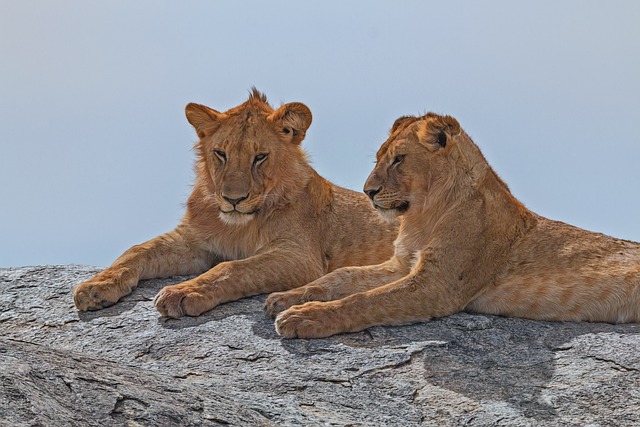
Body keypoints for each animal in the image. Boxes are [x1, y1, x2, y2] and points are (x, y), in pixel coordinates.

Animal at [72, 90, 398, 318]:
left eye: (260, 157)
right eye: (221, 153)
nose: (233, 199)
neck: (237, 225)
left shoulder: (301, 257)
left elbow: (231, 268)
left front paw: (182, 292)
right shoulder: (194, 242)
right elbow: (137, 250)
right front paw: (96, 286)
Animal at [264, 112, 640, 340]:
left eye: (399, 159)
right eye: (378, 158)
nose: (368, 192)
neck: (423, 216)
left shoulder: (438, 285)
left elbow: (365, 300)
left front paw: (304, 318)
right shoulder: (401, 264)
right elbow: (340, 277)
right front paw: (286, 297)